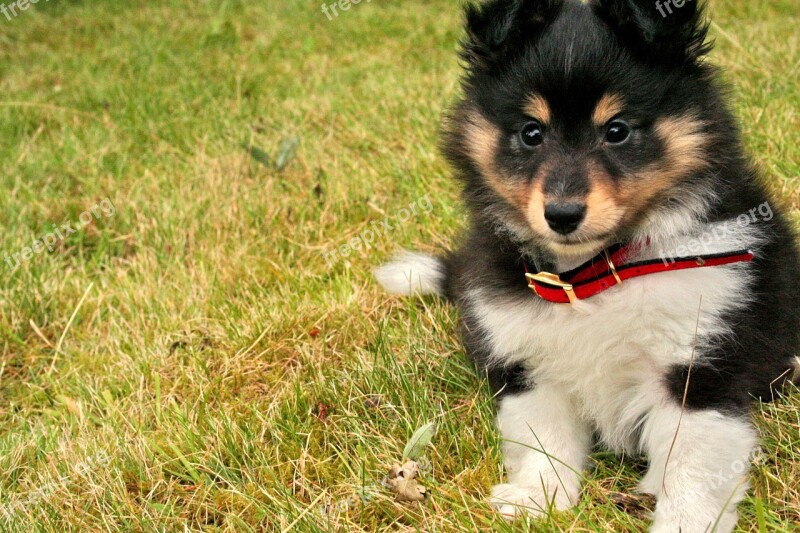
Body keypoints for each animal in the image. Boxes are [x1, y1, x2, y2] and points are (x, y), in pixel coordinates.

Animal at [376, 1, 800, 532]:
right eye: (531, 133)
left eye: (616, 130)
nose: (561, 214)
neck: (593, 274)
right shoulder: (529, 359)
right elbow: (544, 437)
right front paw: (537, 500)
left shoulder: (698, 366)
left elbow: (689, 465)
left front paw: (683, 521)